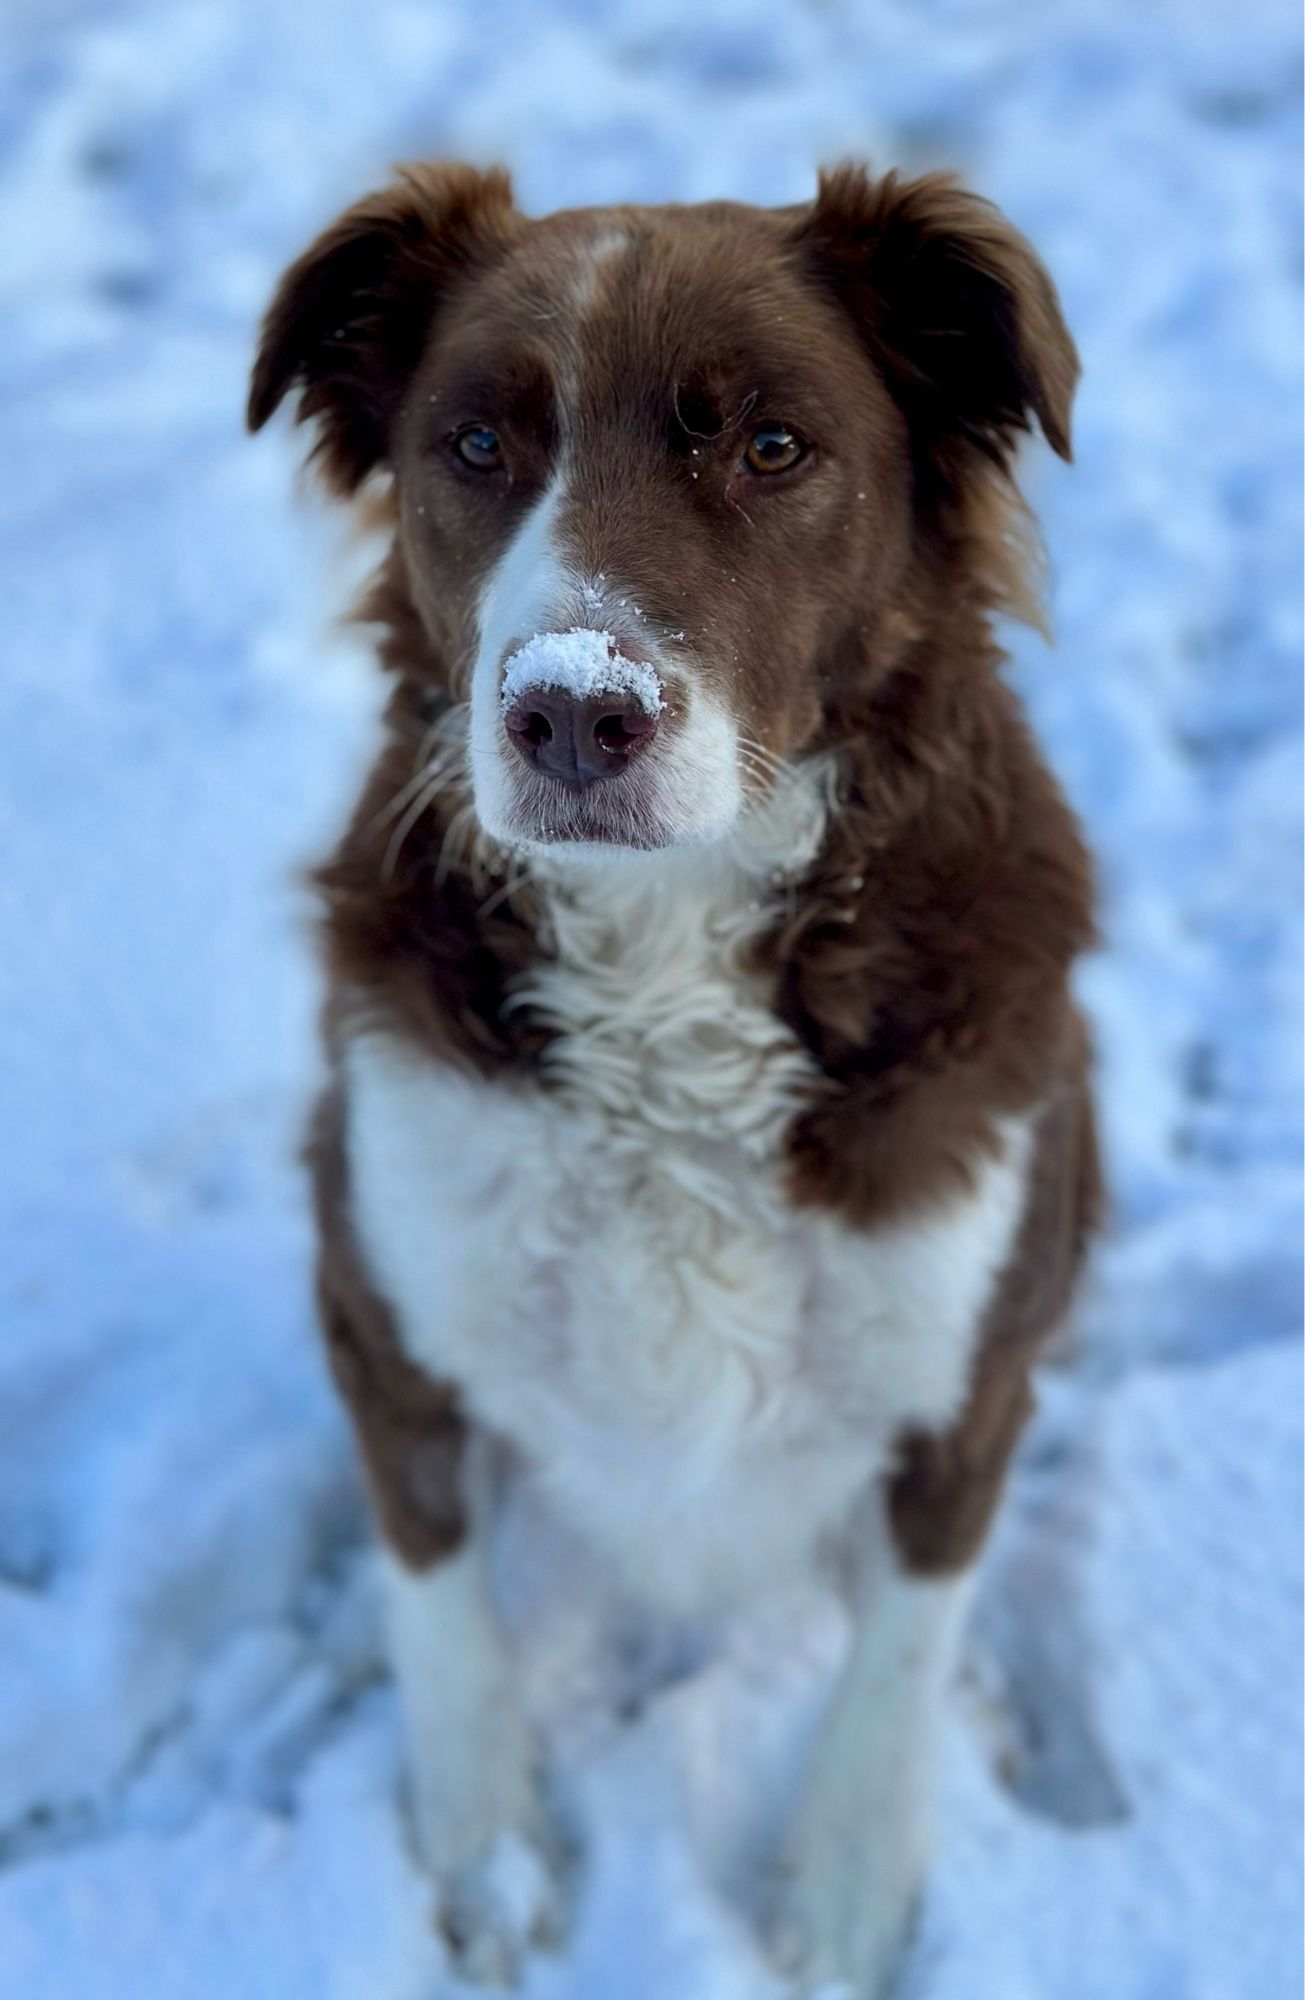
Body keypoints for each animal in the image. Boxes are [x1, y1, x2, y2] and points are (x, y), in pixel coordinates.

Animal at [247, 160, 1104, 2000]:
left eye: (773, 446)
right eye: (477, 443)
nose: (575, 713)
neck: (666, 961)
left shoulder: (967, 1371)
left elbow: (899, 1662)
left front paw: (841, 1907)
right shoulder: (385, 1311)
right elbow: (438, 1607)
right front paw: (488, 1864)